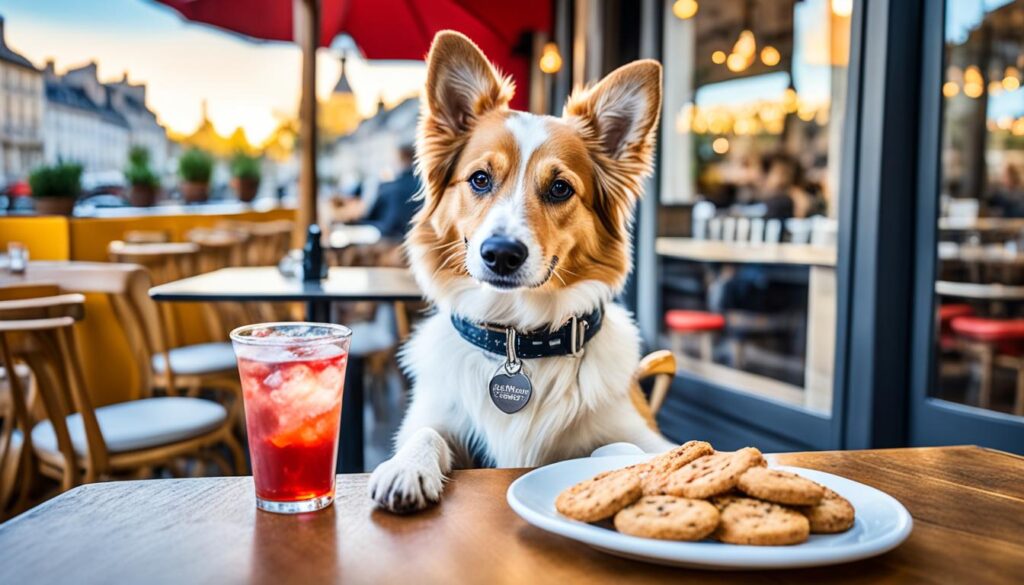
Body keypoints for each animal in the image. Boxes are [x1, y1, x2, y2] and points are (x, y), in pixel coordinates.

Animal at [368, 30, 671, 512]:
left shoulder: (645, 433)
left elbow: (623, 449)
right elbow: (426, 433)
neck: (517, 336)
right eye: (479, 179)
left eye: (560, 188)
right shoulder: (433, 414)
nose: (501, 254)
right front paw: (406, 467)